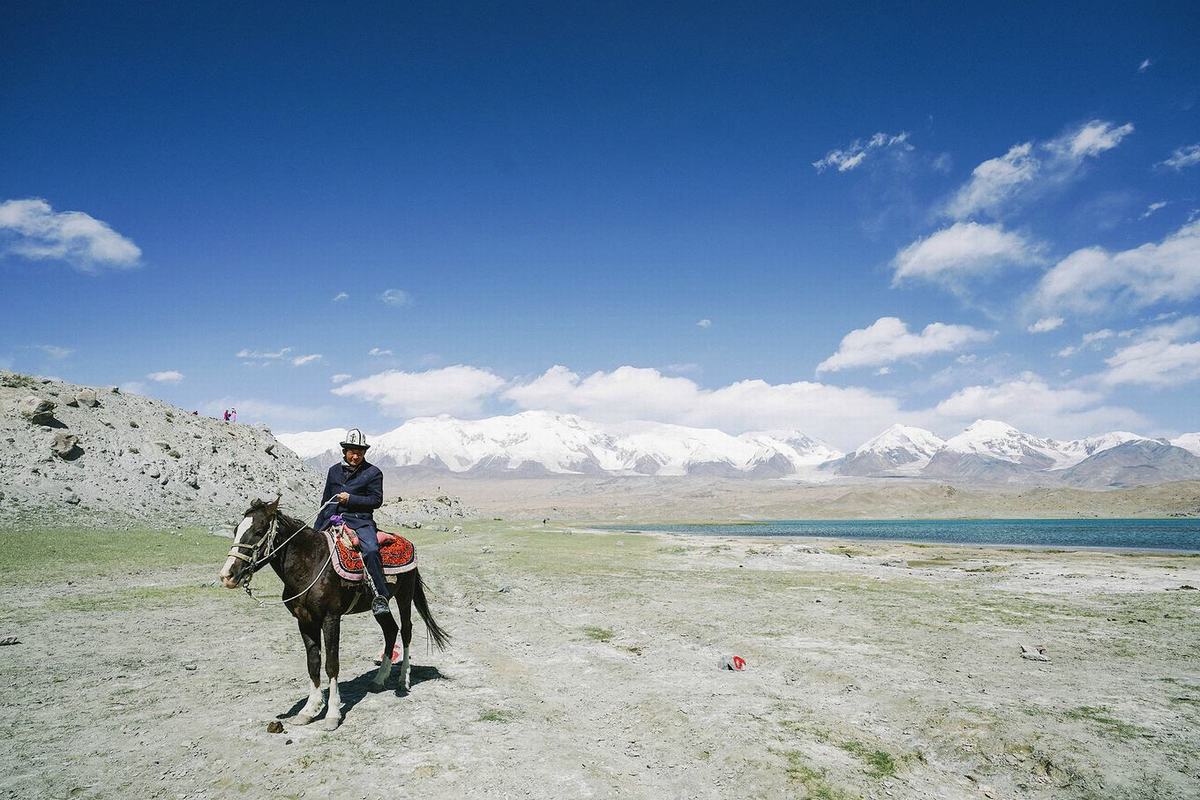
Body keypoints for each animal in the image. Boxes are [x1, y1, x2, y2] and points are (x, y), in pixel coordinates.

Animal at [218, 501, 448, 734]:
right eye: (236, 530)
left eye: (258, 531)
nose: (227, 576)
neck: (310, 564)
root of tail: (407, 542)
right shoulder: (305, 621)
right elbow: (313, 663)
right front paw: (309, 710)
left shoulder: (331, 618)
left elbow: (331, 663)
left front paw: (332, 714)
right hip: (379, 605)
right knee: (390, 630)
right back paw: (379, 680)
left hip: (405, 595)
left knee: (406, 630)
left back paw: (403, 680)